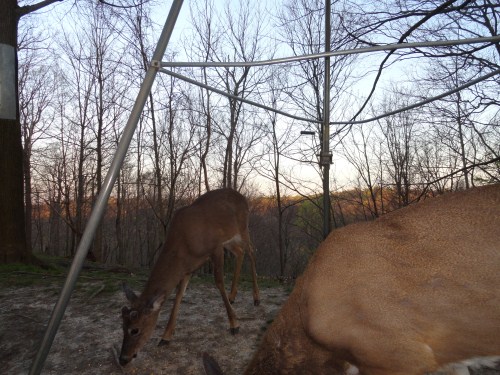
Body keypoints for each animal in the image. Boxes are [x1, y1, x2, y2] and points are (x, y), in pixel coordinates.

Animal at [118, 189, 258, 366]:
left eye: (135, 329)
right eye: (122, 326)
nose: (123, 358)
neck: (184, 244)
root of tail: (243, 197)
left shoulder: (215, 248)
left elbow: (219, 282)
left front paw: (234, 324)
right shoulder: (187, 267)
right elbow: (179, 294)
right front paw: (166, 337)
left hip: (242, 228)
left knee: (251, 252)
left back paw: (256, 297)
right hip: (230, 239)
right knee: (240, 252)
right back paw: (233, 295)